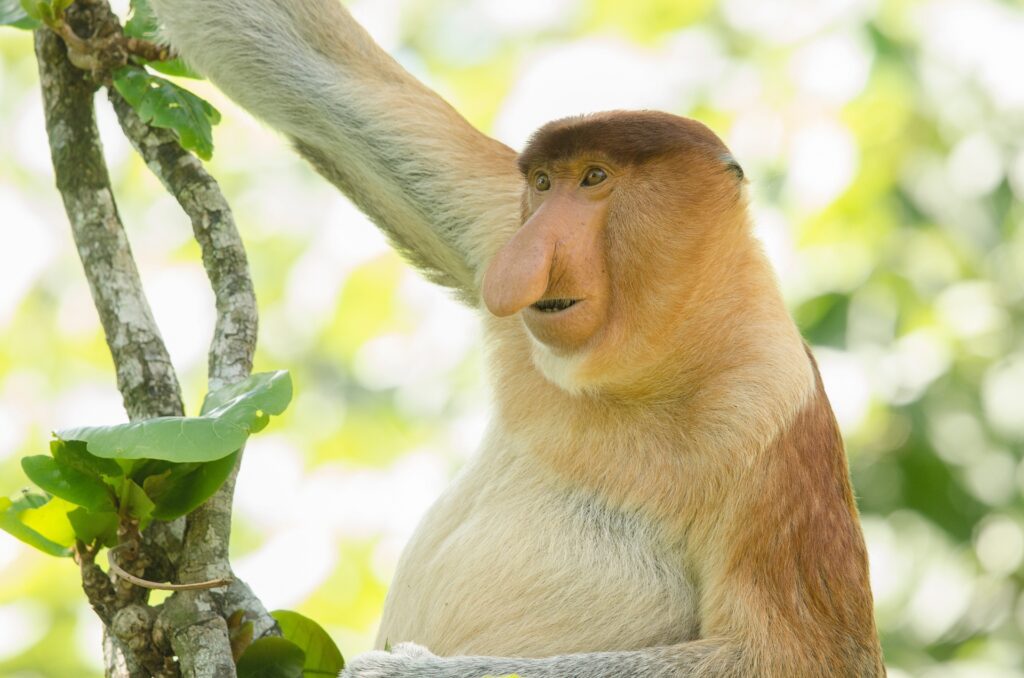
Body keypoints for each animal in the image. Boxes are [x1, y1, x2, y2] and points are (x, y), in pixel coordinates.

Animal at [149, 1, 886, 676]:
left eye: (595, 178)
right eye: (543, 182)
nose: (520, 262)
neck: (639, 368)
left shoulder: (770, 418)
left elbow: (787, 656)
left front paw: (401, 669)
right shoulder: (500, 218)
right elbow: (325, 76)